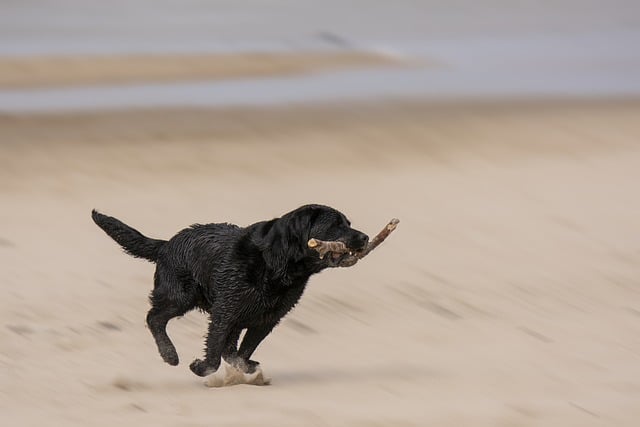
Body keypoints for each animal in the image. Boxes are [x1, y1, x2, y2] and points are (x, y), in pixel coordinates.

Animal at [92, 206, 368, 376]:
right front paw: (201, 367)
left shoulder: (267, 319)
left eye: (348, 224)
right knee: (154, 318)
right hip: (180, 297)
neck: (276, 261)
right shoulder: (225, 311)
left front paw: (244, 366)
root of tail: (166, 244)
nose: (365, 237)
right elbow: (214, 351)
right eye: (336, 225)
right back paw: (169, 354)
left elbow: (242, 351)